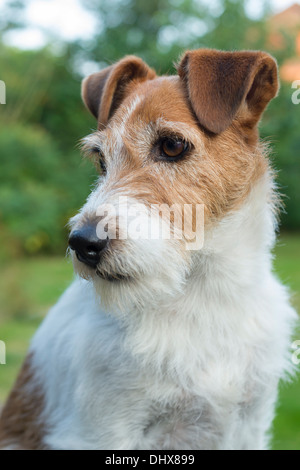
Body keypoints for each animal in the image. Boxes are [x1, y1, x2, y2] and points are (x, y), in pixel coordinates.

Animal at [0, 49, 296, 450]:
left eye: (172, 145)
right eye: (101, 160)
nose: (83, 242)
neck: (204, 296)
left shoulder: (250, 425)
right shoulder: (103, 430)